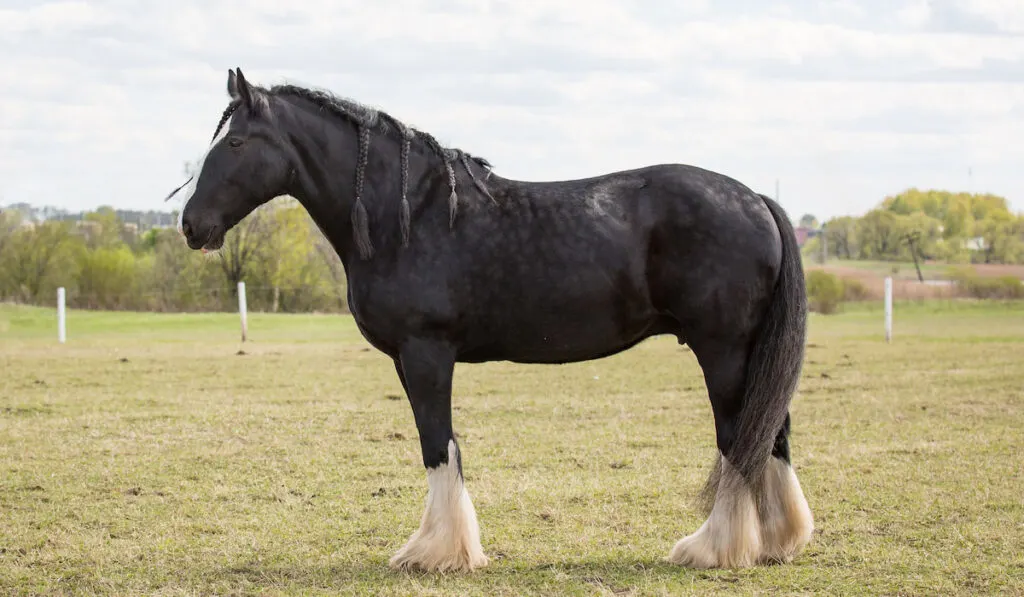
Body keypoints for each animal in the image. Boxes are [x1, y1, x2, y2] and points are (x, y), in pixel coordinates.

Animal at [167, 69, 815, 573]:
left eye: (237, 143)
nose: (192, 225)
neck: (408, 215)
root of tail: (757, 199)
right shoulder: (410, 359)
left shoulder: (426, 353)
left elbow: (437, 444)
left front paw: (436, 553)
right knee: (771, 433)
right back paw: (776, 543)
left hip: (722, 350)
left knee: (739, 439)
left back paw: (712, 549)